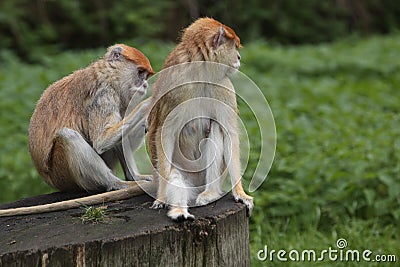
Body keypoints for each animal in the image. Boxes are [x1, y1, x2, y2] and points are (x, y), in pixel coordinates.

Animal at [0, 43, 155, 218]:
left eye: (146, 75)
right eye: (140, 72)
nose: (145, 85)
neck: (109, 75)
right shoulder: (103, 95)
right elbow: (101, 141)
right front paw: (150, 103)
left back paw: (133, 177)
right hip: (62, 174)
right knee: (68, 136)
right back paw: (117, 183)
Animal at [147, 17, 253, 222]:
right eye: (234, 46)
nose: (238, 58)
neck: (201, 71)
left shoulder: (223, 87)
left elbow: (229, 133)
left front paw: (240, 193)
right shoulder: (176, 89)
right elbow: (165, 132)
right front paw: (162, 197)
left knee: (216, 127)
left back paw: (209, 194)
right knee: (176, 178)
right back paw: (180, 211)